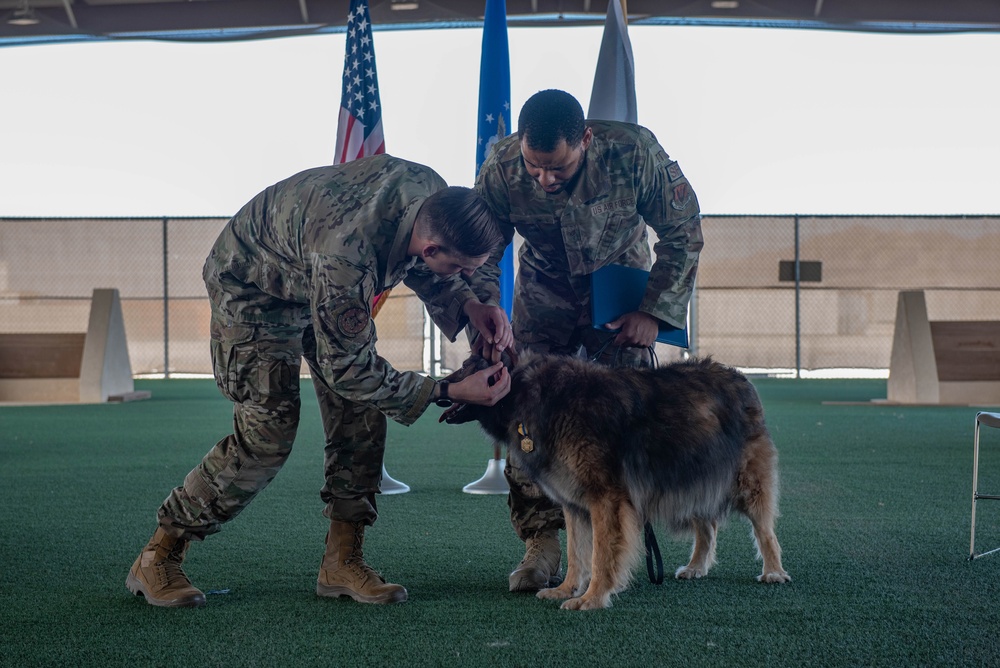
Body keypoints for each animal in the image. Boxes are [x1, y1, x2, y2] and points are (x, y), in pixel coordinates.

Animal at [442, 354, 792, 612]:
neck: (531, 392)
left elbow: (601, 554)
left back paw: (773, 571)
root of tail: (741, 378)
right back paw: (696, 566)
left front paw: (593, 597)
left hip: (746, 483)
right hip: (691, 477)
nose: (442, 384)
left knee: (764, 530)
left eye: (468, 367)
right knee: (707, 527)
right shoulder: (574, 504)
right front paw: (567, 590)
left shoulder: (605, 500)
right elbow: (577, 554)